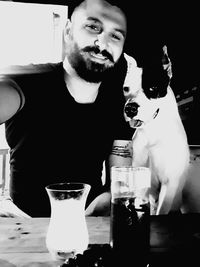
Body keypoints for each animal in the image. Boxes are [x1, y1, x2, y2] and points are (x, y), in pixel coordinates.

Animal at [122, 46, 190, 216]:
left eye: (152, 88)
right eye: (126, 88)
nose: (130, 109)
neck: (152, 131)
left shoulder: (169, 183)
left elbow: (162, 209)